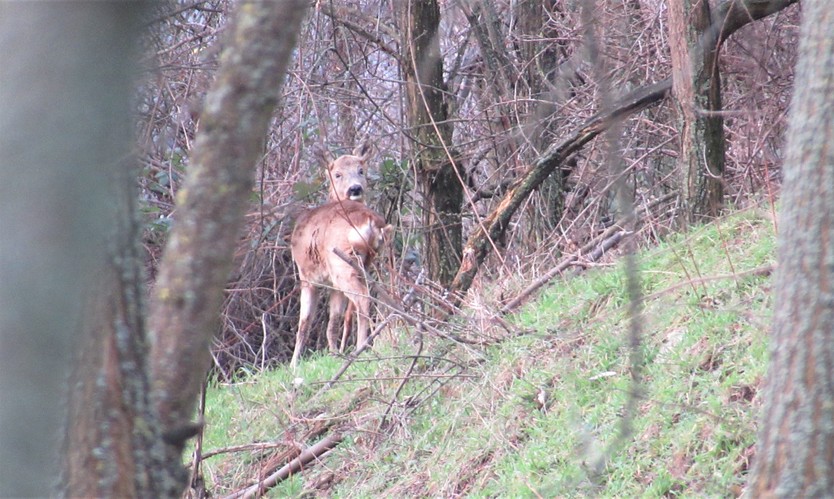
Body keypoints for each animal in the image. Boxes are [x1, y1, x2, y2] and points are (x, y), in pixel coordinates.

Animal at [290, 200, 394, 372]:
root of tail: (371, 221)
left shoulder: (308, 280)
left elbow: (303, 324)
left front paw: (293, 365)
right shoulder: (334, 287)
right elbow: (332, 323)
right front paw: (334, 355)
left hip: (341, 264)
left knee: (363, 297)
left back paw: (360, 348)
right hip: (362, 265)